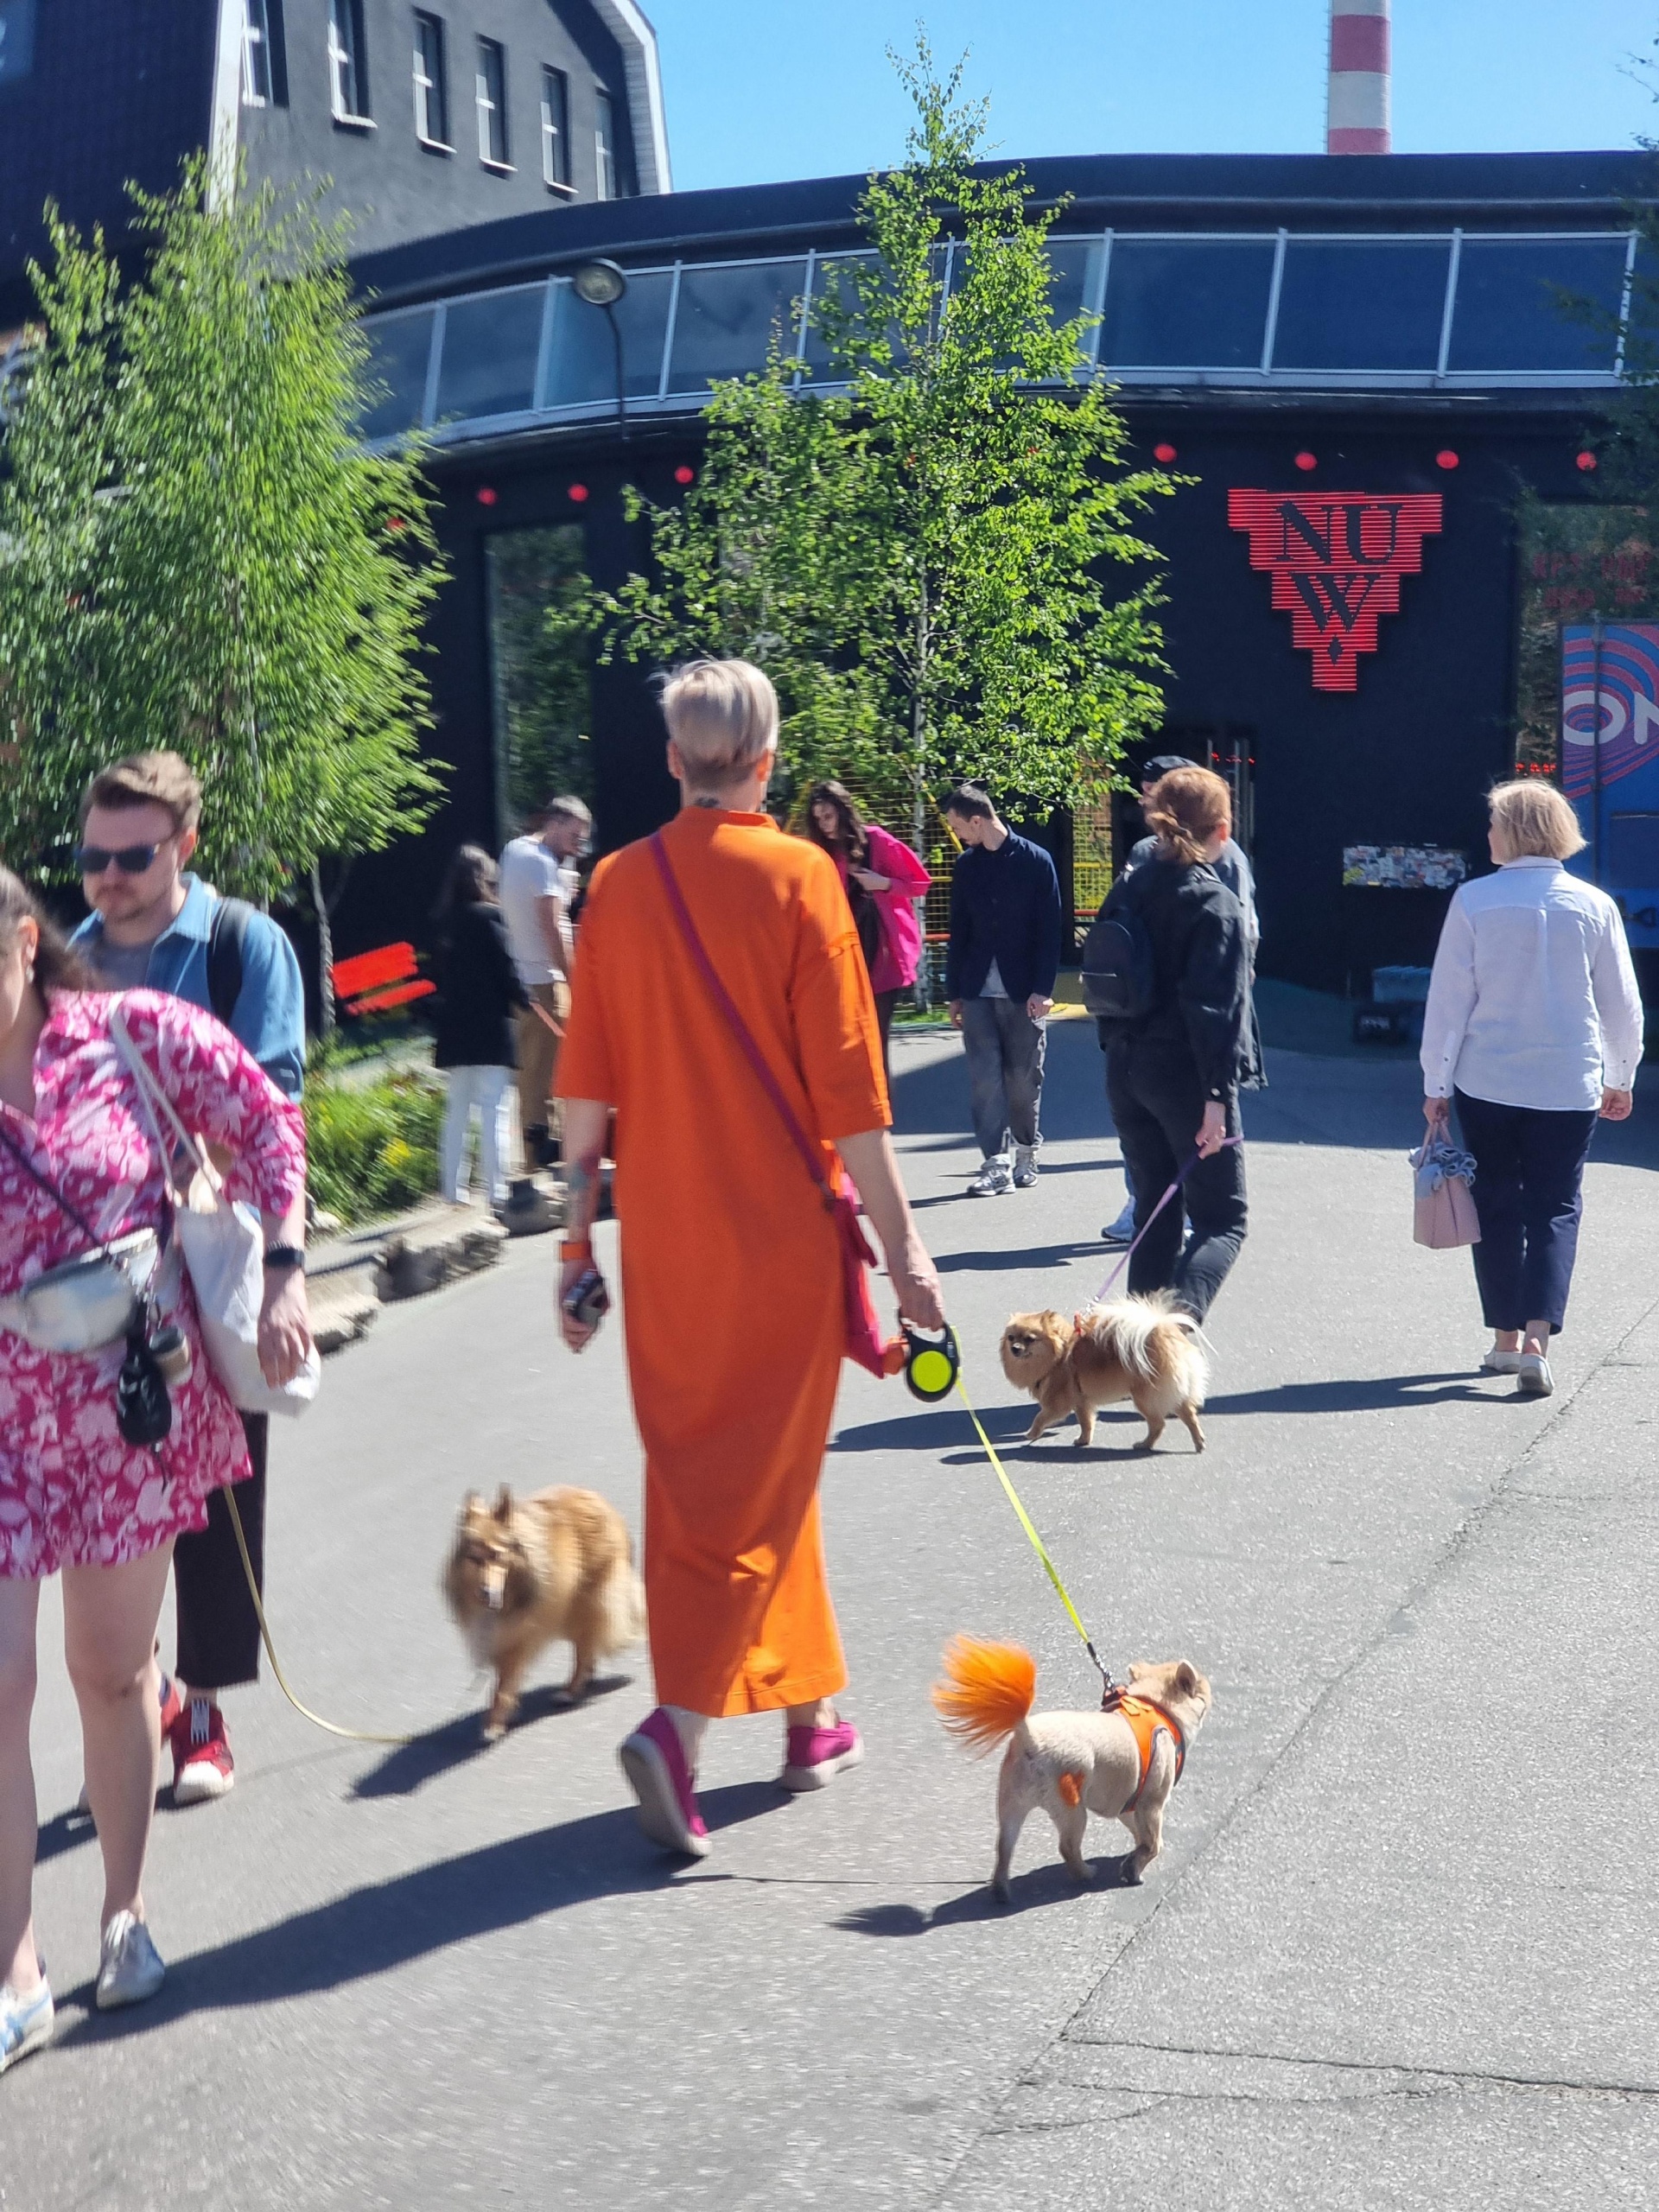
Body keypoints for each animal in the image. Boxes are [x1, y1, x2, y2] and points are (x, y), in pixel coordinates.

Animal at [444, 1486, 645, 1743]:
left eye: (496, 1554)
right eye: (474, 1558)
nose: (486, 1593)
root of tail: (598, 1500)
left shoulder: (517, 1637)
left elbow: (502, 1686)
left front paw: (494, 1724)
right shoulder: (501, 1636)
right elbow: (504, 1681)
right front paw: (508, 1711)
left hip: (586, 1602)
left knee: (584, 1649)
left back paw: (571, 1691)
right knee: (587, 1645)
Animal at [929, 1628, 1211, 1902]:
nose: (1208, 1686)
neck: (1154, 1705)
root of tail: (1029, 1736)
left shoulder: (1128, 1803)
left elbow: (1141, 1834)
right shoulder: (1151, 1802)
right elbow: (1152, 1843)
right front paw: (1134, 1868)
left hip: (1011, 1803)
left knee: (1004, 1847)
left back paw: (1001, 1890)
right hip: (1072, 1807)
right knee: (1067, 1847)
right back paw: (1086, 1873)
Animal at [995, 1292, 1211, 1451]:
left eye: (1029, 1339)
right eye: (1011, 1337)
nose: (1015, 1348)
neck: (1060, 1354)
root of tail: (1164, 1332)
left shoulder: (1058, 1404)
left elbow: (1040, 1417)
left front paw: (1032, 1434)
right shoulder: (1082, 1402)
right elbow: (1086, 1423)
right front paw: (1083, 1440)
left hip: (1145, 1398)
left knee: (1158, 1424)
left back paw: (1145, 1444)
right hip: (1174, 1392)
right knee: (1189, 1415)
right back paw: (1199, 1443)